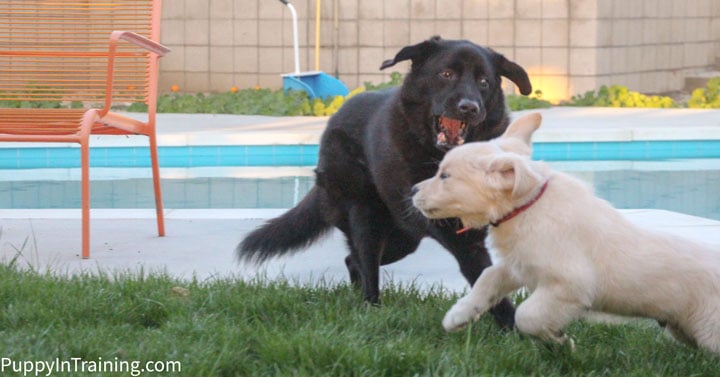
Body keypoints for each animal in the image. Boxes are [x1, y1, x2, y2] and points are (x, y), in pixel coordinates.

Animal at [239, 36, 532, 328]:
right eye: (446, 74)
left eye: (484, 82)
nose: (470, 107)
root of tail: (334, 119)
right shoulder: (456, 234)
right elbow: (485, 281)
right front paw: (515, 329)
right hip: (365, 215)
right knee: (364, 261)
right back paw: (370, 308)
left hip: (403, 238)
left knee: (352, 259)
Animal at [410, 111, 720, 352]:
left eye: (445, 176)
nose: (412, 190)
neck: (528, 206)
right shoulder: (519, 265)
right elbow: (488, 278)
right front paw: (459, 315)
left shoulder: (567, 284)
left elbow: (527, 316)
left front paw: (560, 342)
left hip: (710, 329)